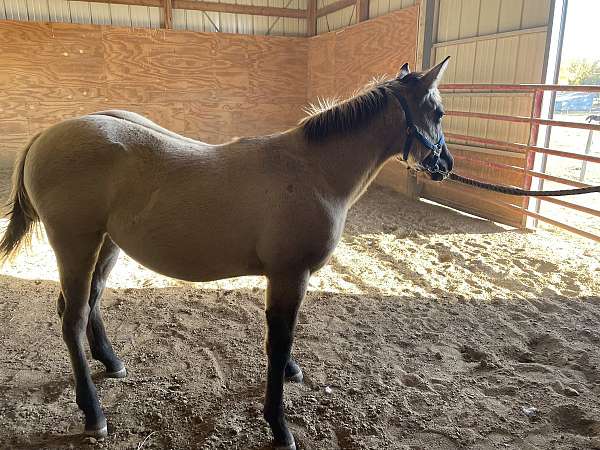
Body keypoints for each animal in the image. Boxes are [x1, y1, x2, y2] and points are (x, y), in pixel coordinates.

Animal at [0, 57, 450, 450]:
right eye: (439, 113)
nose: (445, 163)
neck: (312, 170)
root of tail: (45, 136)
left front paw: (290, 375)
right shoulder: (290, 274)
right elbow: (279, 341)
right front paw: (279, 426)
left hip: (106, 244)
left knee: (89, 304)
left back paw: (111, 364)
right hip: (75, 243)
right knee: (72, 318)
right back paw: (94, 414)